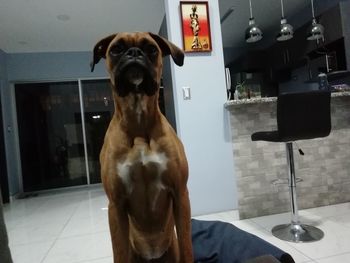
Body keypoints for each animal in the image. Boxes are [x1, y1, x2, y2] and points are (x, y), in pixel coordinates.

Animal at [90, 33, 193, 263]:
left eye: (152, 49)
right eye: (116, 49)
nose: (134, 53)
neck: (138, 122)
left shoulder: (180, 194)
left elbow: (188, 247)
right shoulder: (116, 206)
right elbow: (118, 252)